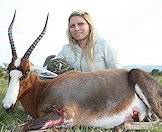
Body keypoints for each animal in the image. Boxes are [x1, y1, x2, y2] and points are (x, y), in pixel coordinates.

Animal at [2, 11, 162, 131]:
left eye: (26, 72)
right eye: (9, 72)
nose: (7, 106)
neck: (43, 89)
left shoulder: (63, 115)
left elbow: (18, 128)